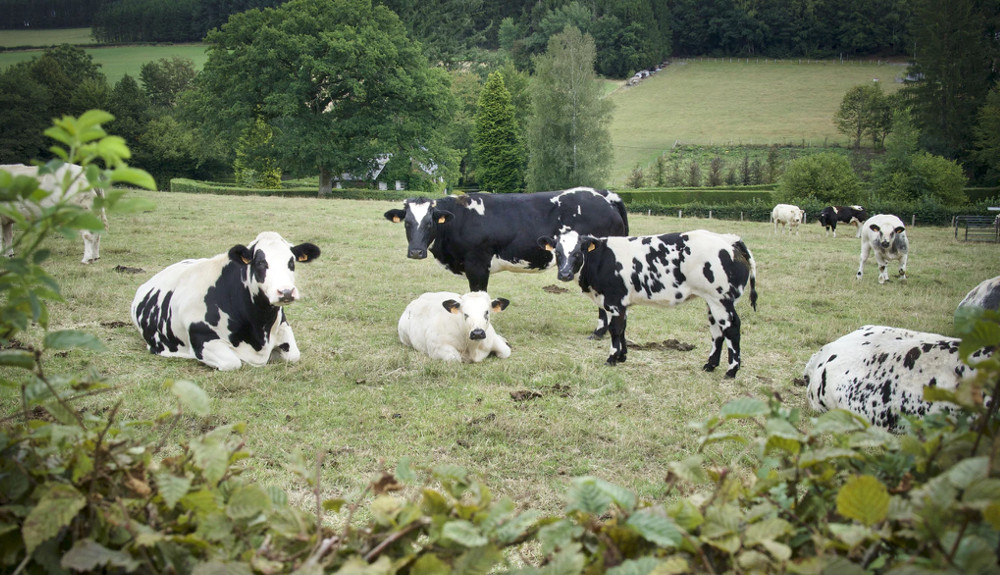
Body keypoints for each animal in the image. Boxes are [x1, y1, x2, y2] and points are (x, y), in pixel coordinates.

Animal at [131, 232, 320, 372]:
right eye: (260, 262)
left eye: (291, 262)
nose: (286, 292)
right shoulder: (202, 338)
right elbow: (233, 362)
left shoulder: (283, 328)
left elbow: (294, 355)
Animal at [382, 187, 624, 336]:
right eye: (407, 222)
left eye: (430, 222)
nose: (416, 251)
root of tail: (603, 194)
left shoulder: (477, 265)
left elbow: (479, 297)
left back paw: (599, 332)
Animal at [540, 230, 756, 378]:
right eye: (557, 252)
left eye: (578, 252)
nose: (564, 274)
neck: (601, 260)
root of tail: (729, 240)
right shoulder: (622, 303)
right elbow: (623, 329)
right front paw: (622, 356)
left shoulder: (614, 301)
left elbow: (614, 330)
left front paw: (612, 358)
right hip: (712, 301)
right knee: (717, 332)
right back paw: (710, 365)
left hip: (721, 300)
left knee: (732, 328)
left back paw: (731, 370)